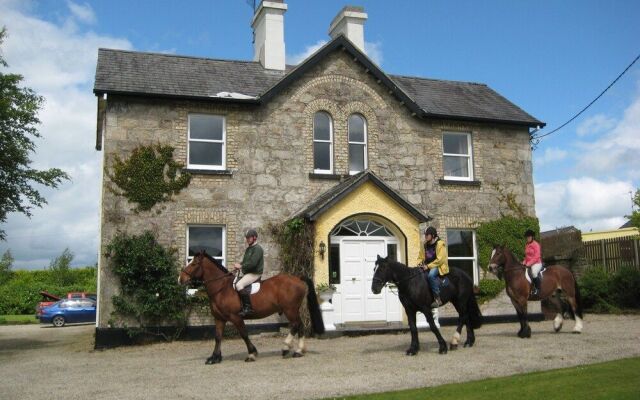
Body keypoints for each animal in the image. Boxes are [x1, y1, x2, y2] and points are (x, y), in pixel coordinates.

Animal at [179, 252, 324, 364]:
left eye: (194, 264)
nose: (180, 279)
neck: (221, 289)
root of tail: (298, 278)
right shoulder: (219, 319)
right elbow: (218, 337)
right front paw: (214, 358)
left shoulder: (236, 317)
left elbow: (244, 334)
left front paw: (252, 354)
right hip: (293, 310)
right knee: (300, 325)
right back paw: (298, 351)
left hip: (290, 310)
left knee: (295, 325)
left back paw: (286, 348)